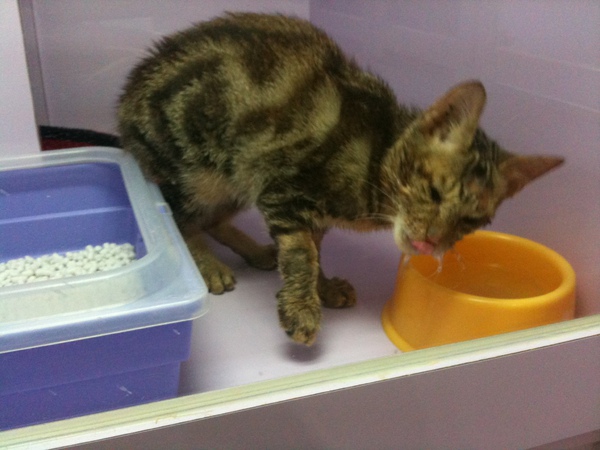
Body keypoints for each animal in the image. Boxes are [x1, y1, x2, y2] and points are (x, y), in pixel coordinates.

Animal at [118, 12, 563, 345]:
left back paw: (256, 251)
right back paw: (208, 265)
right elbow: (302, 254)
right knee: (181, 218)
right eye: (434, 192)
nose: (430, 242)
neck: (375, 166)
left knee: (211, 219)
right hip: (200, 169)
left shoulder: (295, 203)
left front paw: (324, 286)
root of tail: (126, 101)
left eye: (470, 222)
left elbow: (314, 250)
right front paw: (302, 307)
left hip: (237, 177)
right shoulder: (282, 190)